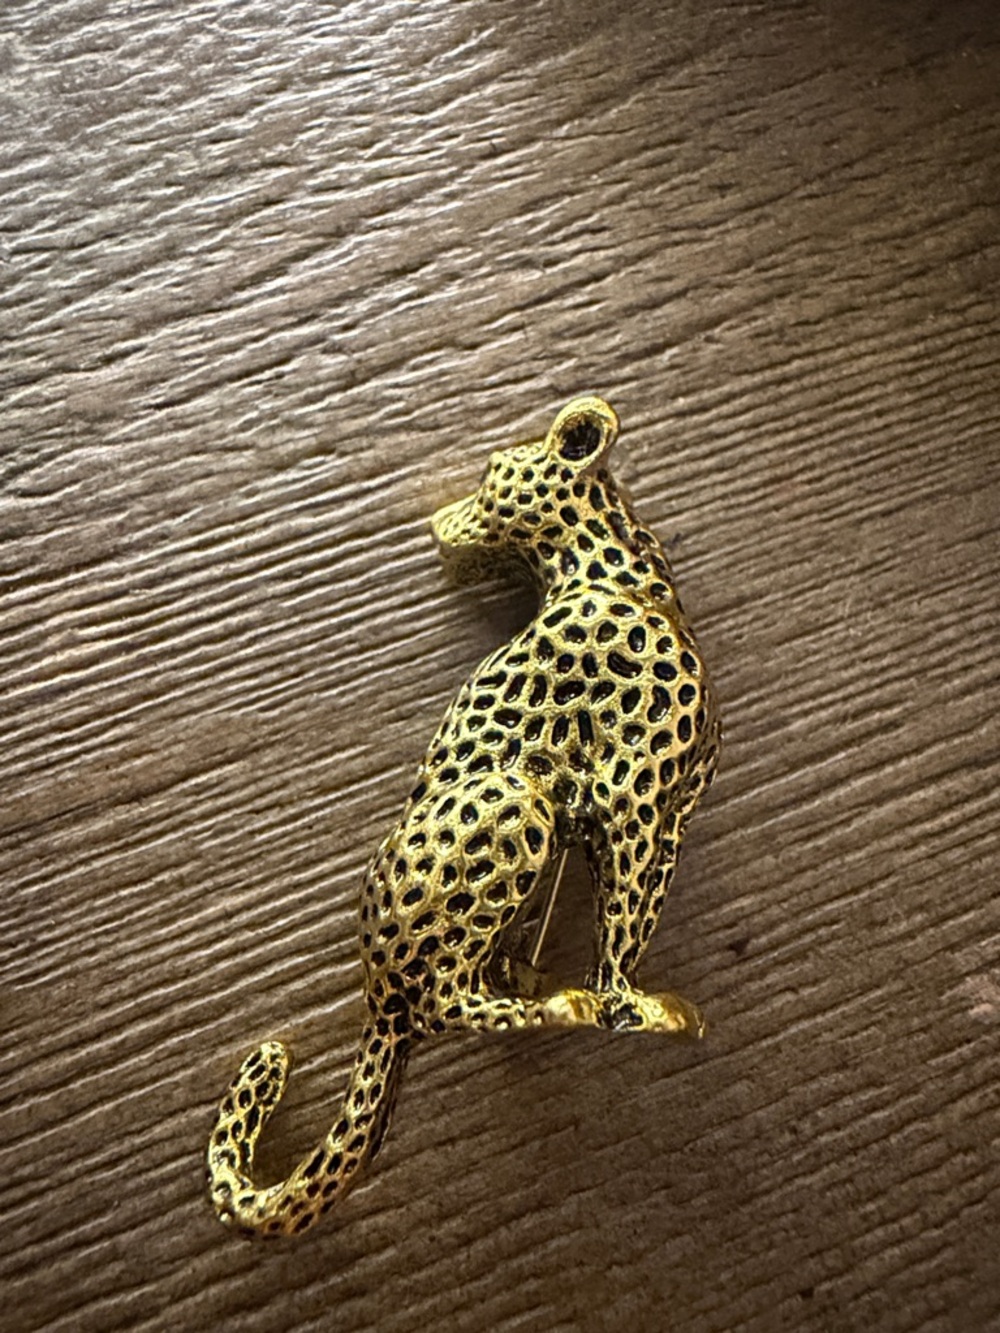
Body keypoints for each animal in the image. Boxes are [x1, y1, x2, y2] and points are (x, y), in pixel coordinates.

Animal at [207, 395, 721, 1238]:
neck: (623, 577)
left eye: (491, 473)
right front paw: (619, 1003)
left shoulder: (669, 817)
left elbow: (636, 917)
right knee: (445, 1005)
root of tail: (377, 990)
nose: (442, 522)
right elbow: (620, 922)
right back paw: (549, 1005)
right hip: (516, 801)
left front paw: (630, 1000)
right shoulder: (629, 805)